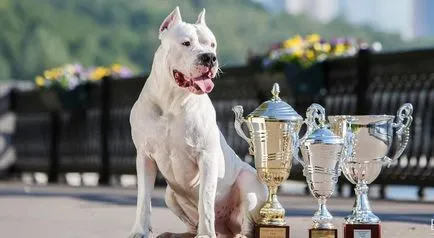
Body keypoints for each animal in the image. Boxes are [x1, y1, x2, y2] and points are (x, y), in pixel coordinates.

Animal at [127, 7, 266, 238]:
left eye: (212, 45)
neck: (172, 100)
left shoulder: (206, 157)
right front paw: (139, 231)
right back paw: (173, 234)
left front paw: (206, 234)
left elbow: (205, 200)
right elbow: (143, 199)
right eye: (186, 43)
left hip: (250, 183)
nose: (209, 57)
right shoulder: (145, 156)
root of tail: (225, 229)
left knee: (245, 225)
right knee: (191, 226)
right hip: (169, 195)